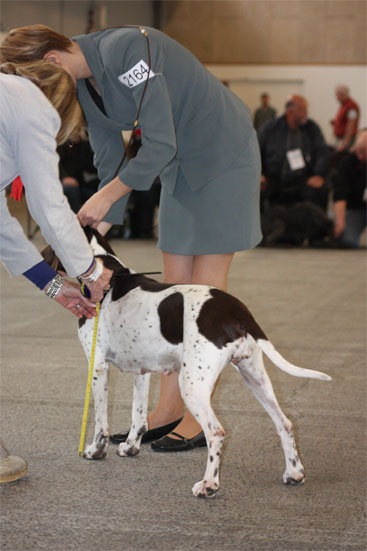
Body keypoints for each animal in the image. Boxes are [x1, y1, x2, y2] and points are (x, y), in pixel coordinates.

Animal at [41, 229, 332, 500]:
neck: (109, 273)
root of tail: (236, 309)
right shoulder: (143, 371)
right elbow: (138, 416)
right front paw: (131, 446)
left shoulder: (98, 366)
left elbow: (101, 422)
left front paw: (95, 451)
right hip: (254, 376)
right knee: (284, 423)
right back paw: (294, 473)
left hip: (192, 384)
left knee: (216, 433)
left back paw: (208, 485)